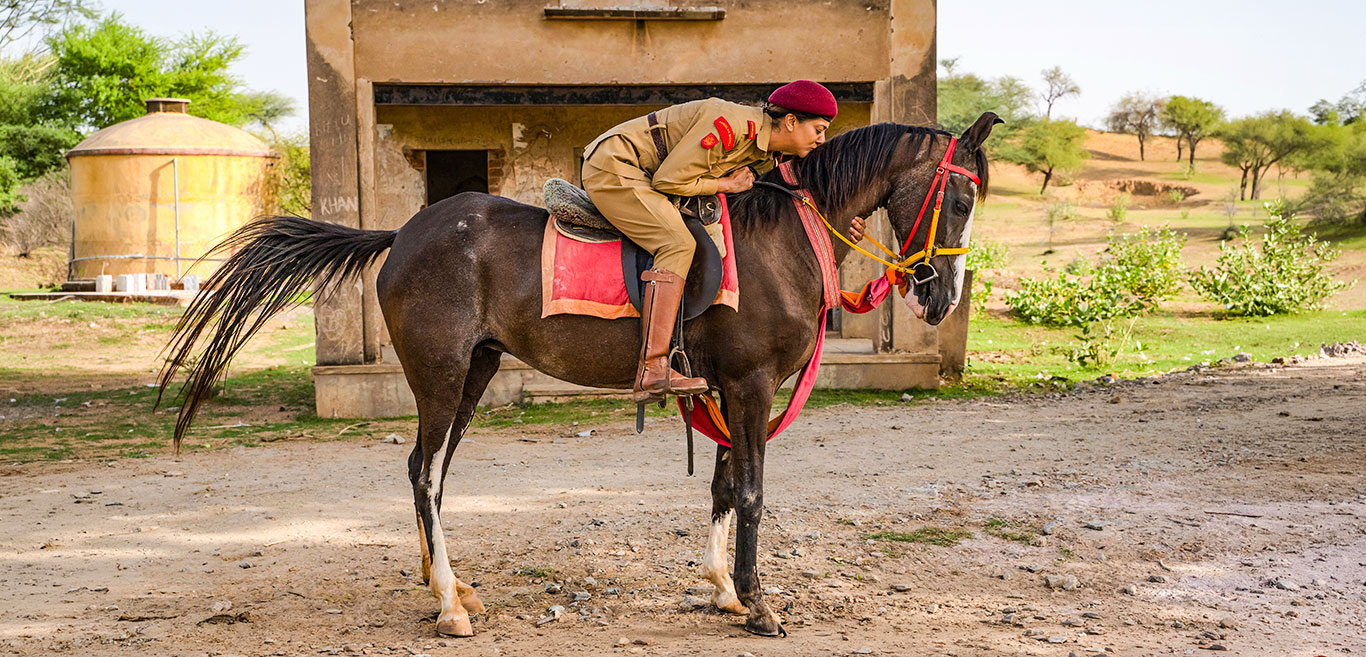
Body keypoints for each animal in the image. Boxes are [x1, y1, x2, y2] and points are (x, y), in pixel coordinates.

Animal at [158, 111, 1001, 638]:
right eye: (960, 195)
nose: (940, 296)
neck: (783, 238)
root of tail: (402, 232)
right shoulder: (752, 386)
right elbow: (754, 494)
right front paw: (759, 604)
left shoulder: (726, 390)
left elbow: (723, 486)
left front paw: (725, 591)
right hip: (439, 376)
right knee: (425, 471)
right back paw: (448, 604)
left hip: (473, 374)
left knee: (432, 470)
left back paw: (449, 586)